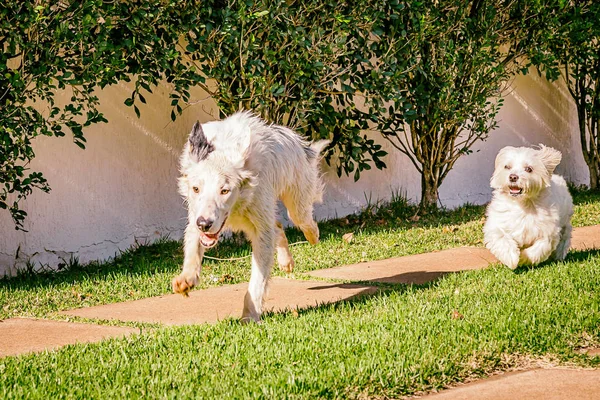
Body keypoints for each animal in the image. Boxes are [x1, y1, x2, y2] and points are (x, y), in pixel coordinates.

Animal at [171, 111, 328, 322]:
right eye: (196, 189)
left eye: (224, 190)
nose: (204, 224)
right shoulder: (197, 215)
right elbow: (194, 248)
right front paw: (186, 279)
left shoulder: (260, 227)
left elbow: (258, 280)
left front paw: (250, 314)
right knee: (278, 227)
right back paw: (286, 261)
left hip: (297, 202)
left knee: (301, 220)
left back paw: (312, 235)